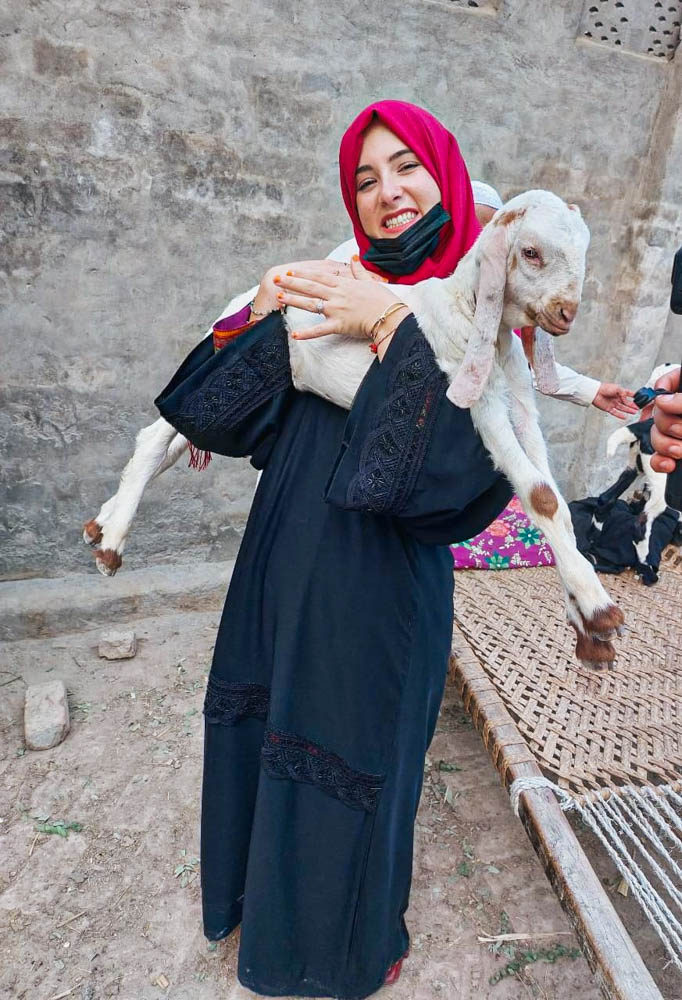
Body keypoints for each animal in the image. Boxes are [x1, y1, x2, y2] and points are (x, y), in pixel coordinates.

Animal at [81, 191, 620, 668]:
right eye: (531, 253)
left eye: (583, 254)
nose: (566, 313)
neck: (467, 310)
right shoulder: (473, 398)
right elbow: (540, 497)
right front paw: (598, 607)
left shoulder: (522, 409)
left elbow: (556, 501)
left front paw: (585, 622)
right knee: (159, 435)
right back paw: (112, 543)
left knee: (171, 438)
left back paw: (102, 523)